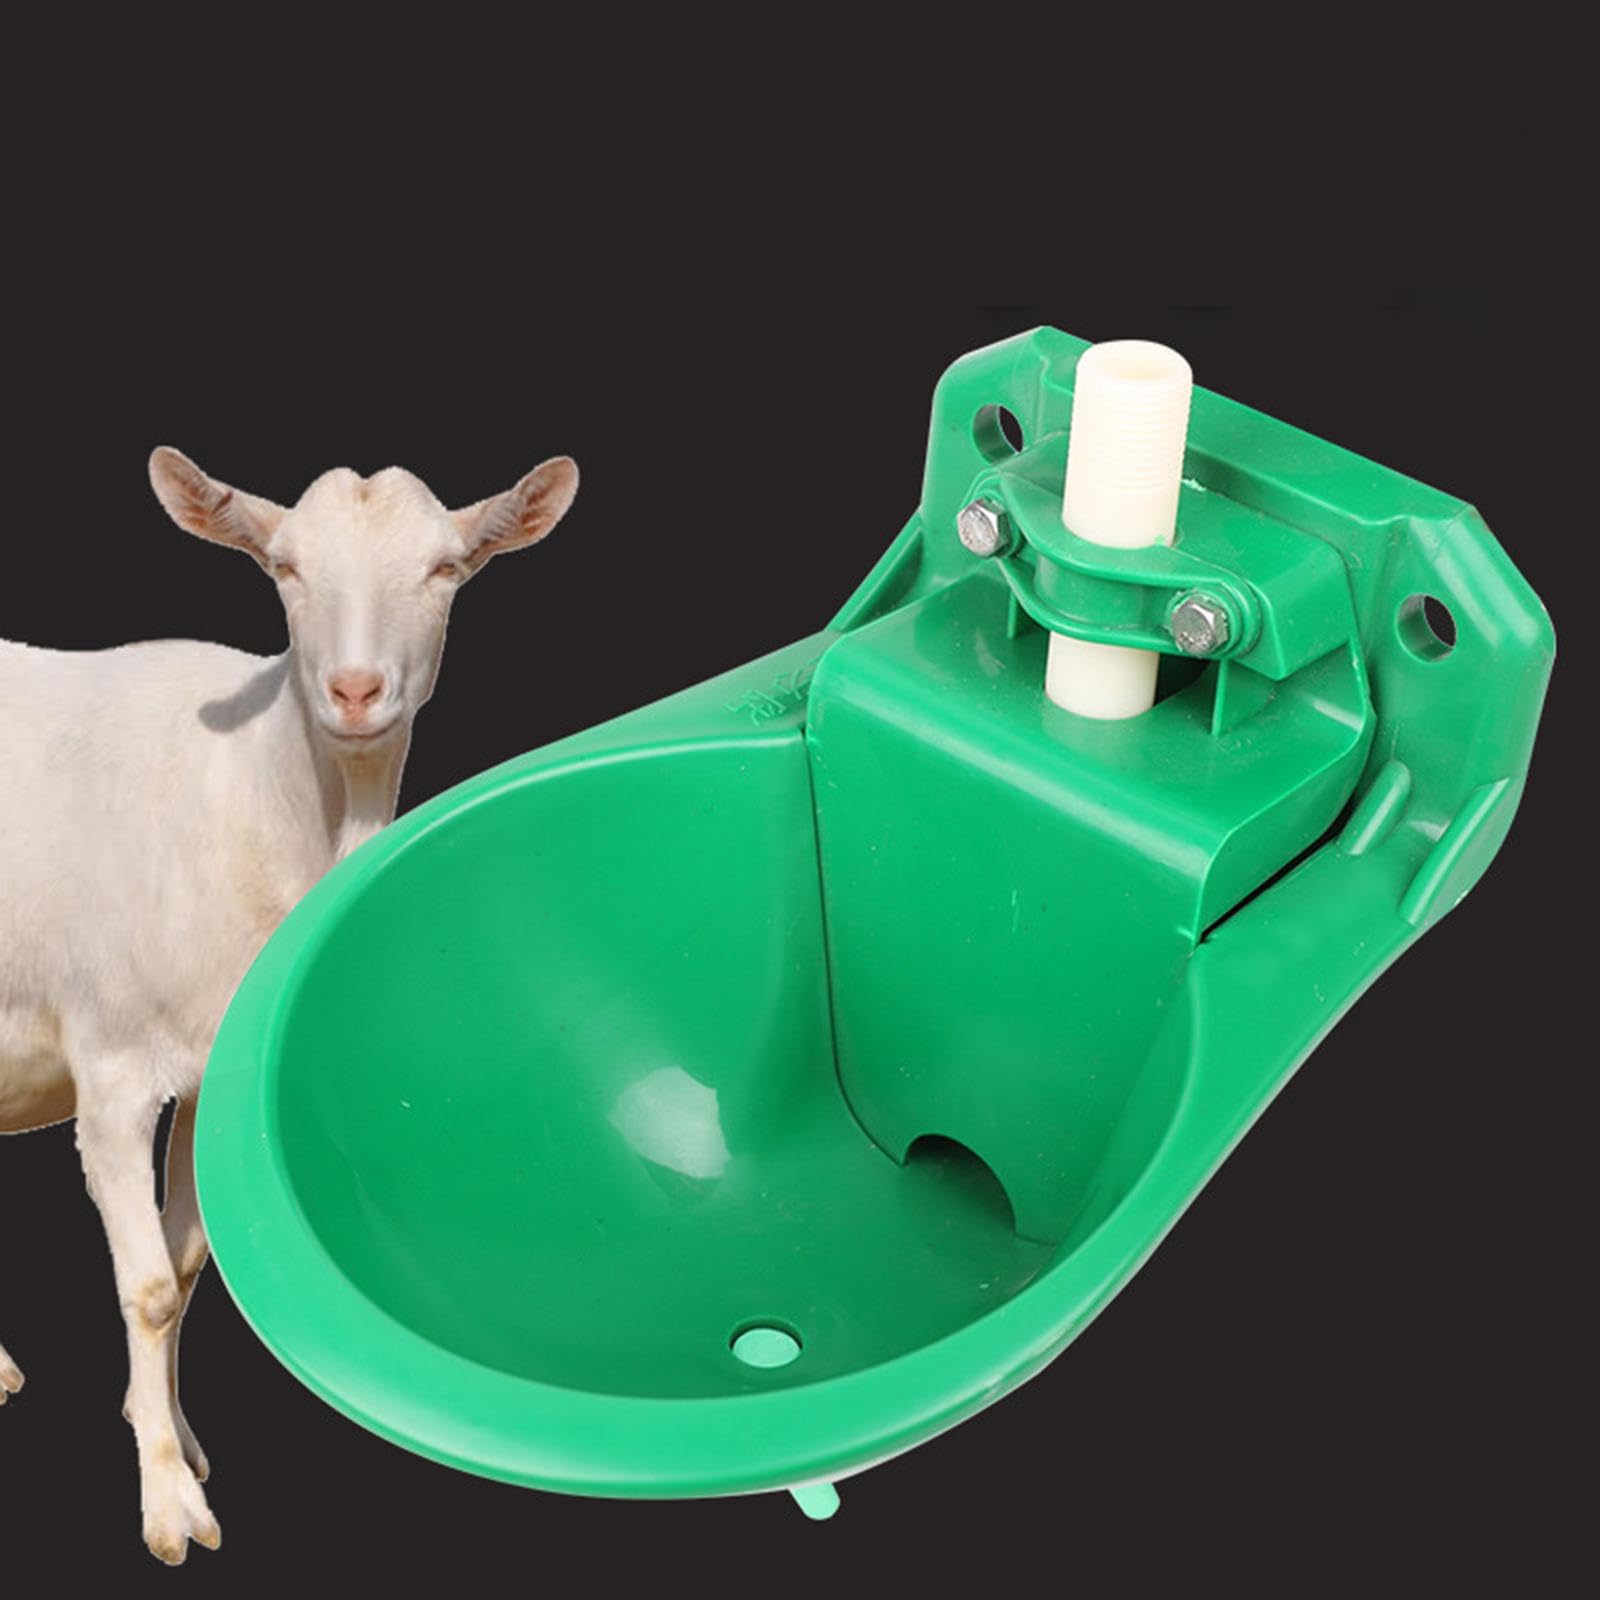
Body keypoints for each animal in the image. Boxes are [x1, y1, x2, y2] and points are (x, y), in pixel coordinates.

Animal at [0, 447, 579, 1564]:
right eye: (285, 568)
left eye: (446, 569)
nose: (355, 690)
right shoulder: (113, 1061)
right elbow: (145, 1287)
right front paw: (168, 1510)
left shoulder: (207, 1058)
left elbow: (186, 1267)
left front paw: (176, 1437)